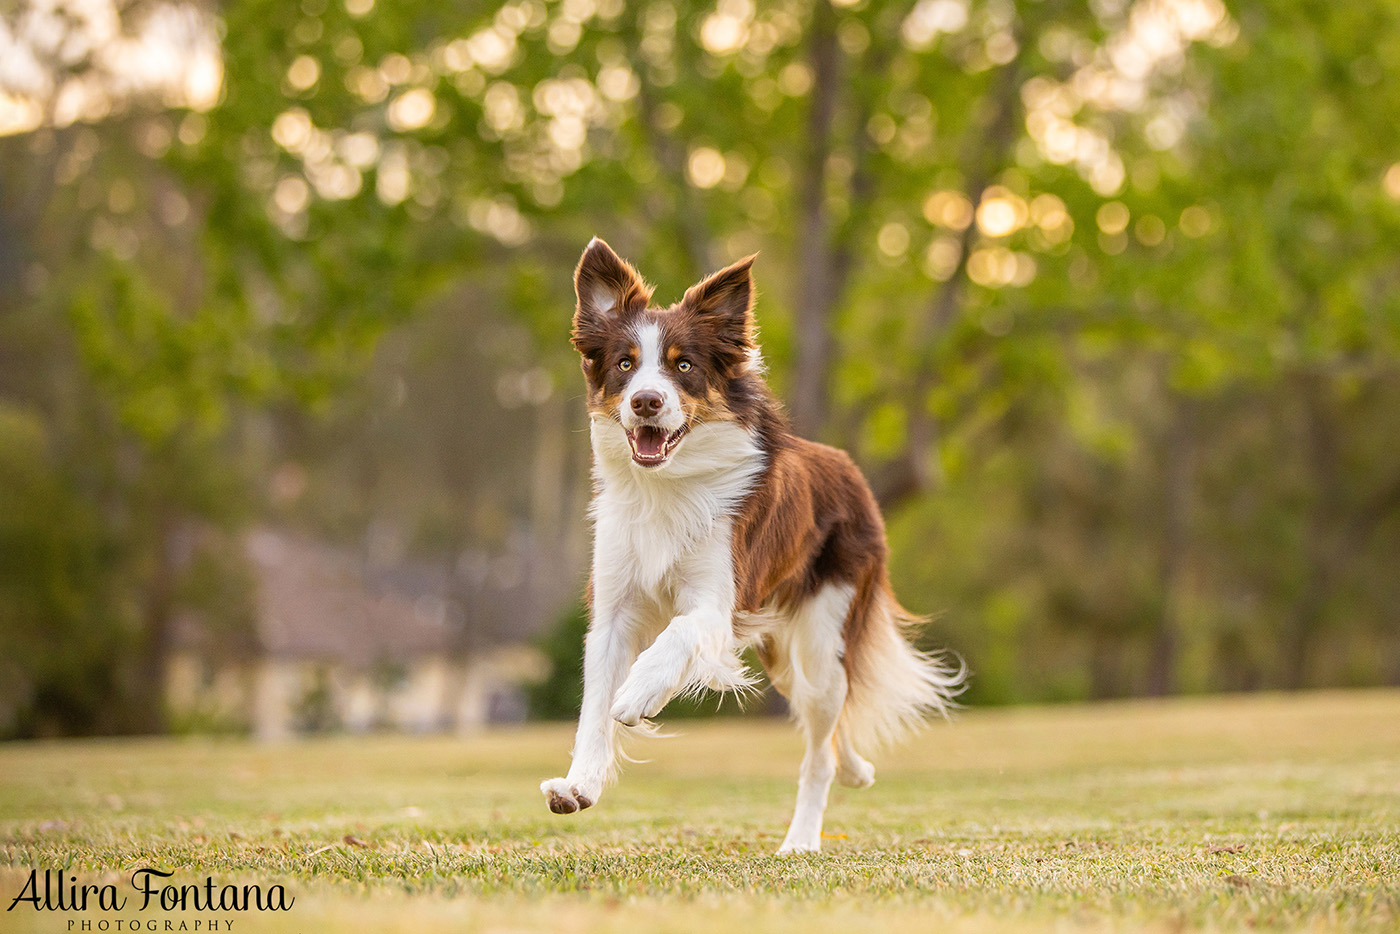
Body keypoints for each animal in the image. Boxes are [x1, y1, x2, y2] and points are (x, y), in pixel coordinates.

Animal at [534, 238, 963, 851]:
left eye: (683, 365)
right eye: (625, 365)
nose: (645, 402)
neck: (665, 487)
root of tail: (849, 469)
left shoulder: (720, 602)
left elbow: (677, 635)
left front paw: (640, 694)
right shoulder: (613, 609)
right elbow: (593, 707)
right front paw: (580, 785)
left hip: (823, 642)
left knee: (820, 746)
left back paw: (801, 840)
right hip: (781, 656)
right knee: (825, 728)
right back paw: (855, 771)